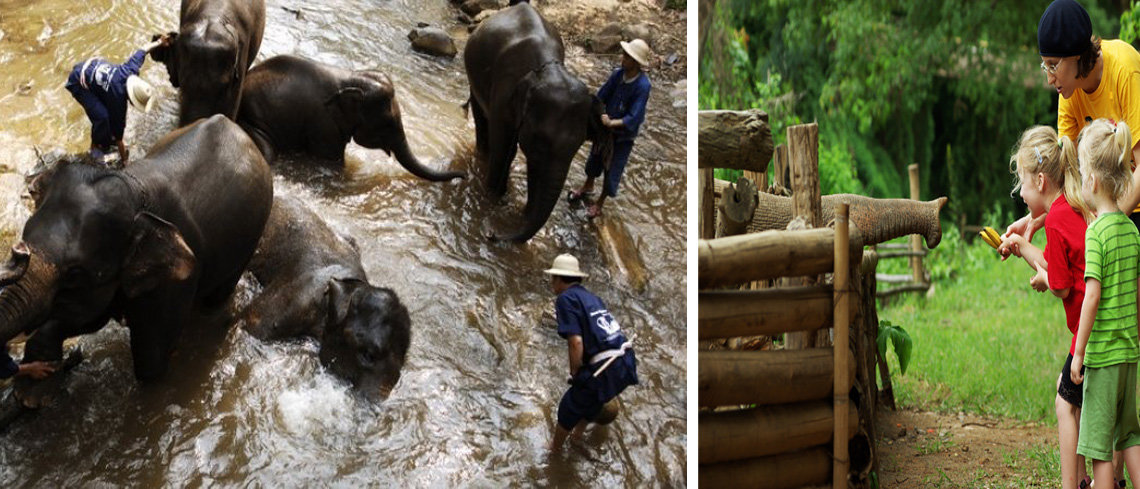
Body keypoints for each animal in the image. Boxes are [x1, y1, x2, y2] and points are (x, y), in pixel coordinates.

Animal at [3, 115, 272, 380]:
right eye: (25, 233)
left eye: (74, 274)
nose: (19, 252)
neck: (132, 187)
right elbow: (90, 317)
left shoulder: (175, 281)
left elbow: (151, 357)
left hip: (253, 234)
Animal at [233, 53, 465, 182]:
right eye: (387, 123)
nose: (462, 177)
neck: (350, 78)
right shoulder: (323, 125)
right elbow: (333, 162)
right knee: (268, 151)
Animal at [460, 0, 611, 240]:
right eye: (541, 141)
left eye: (578, 145)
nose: (492, 234)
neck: (546, 69)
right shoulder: (503, 94)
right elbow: (503, 148)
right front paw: (491, 197)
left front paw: (523, 211)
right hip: (473, 76)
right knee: (482, 119)